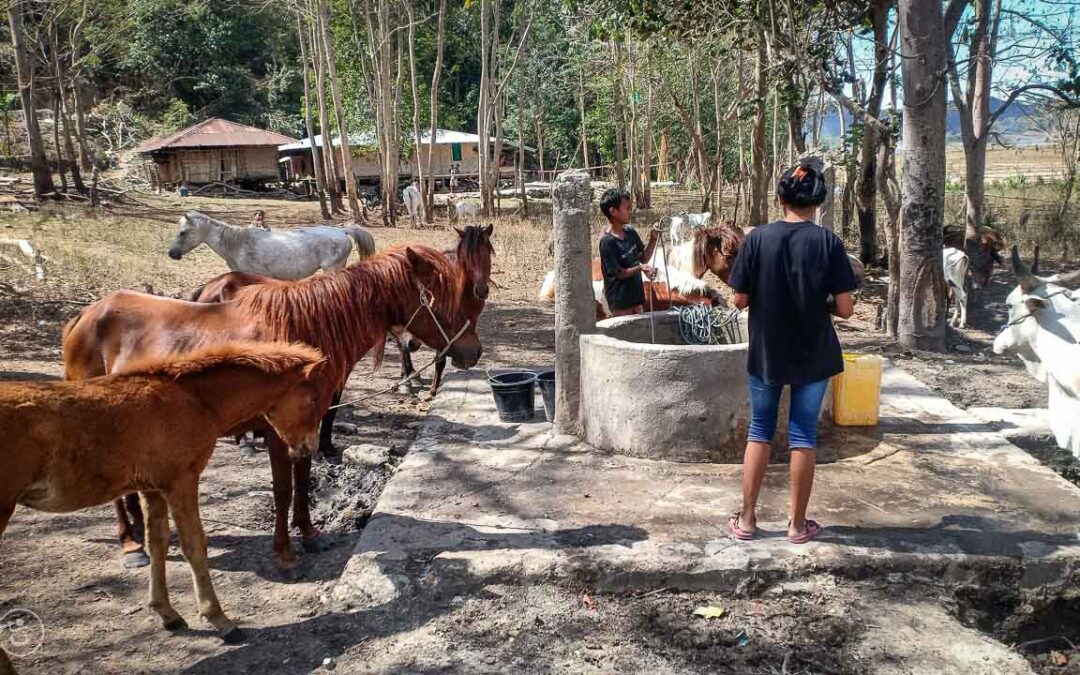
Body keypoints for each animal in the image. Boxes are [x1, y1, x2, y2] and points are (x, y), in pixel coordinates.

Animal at [1, 341, 328, 665]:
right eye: (312, 399)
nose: (309, 447)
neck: (192, 399)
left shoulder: (153, 489)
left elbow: (157, 541)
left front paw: (167, 613)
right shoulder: (181, 482)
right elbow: (193, 545)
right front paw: (220, 620)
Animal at [61, 245, 479, 570]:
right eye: (443, 300)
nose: (473, 351)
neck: (300, 338)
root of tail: (83, 317)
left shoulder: (306, 429)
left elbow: (303, 481)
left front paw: (310, 535)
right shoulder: (279, 434)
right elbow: (282, 489)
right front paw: (284, 551)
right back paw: (130, 544)